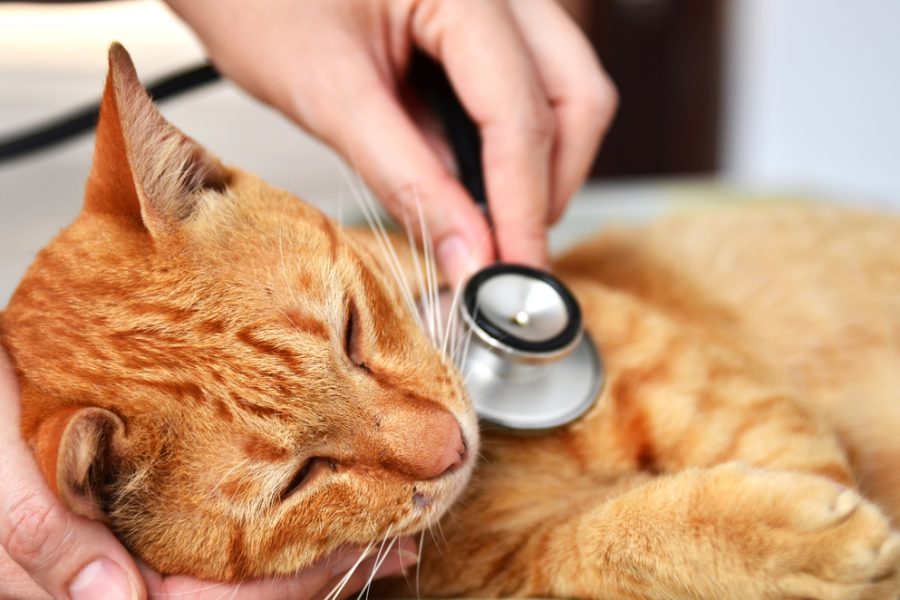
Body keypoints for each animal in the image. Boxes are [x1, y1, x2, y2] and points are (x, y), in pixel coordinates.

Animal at [1, 43, 900, 600]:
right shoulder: (512, 576)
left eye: (351, 331)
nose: (452, 446)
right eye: (303, 478)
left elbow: (789, 447)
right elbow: (615, 544)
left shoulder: (688, 376)